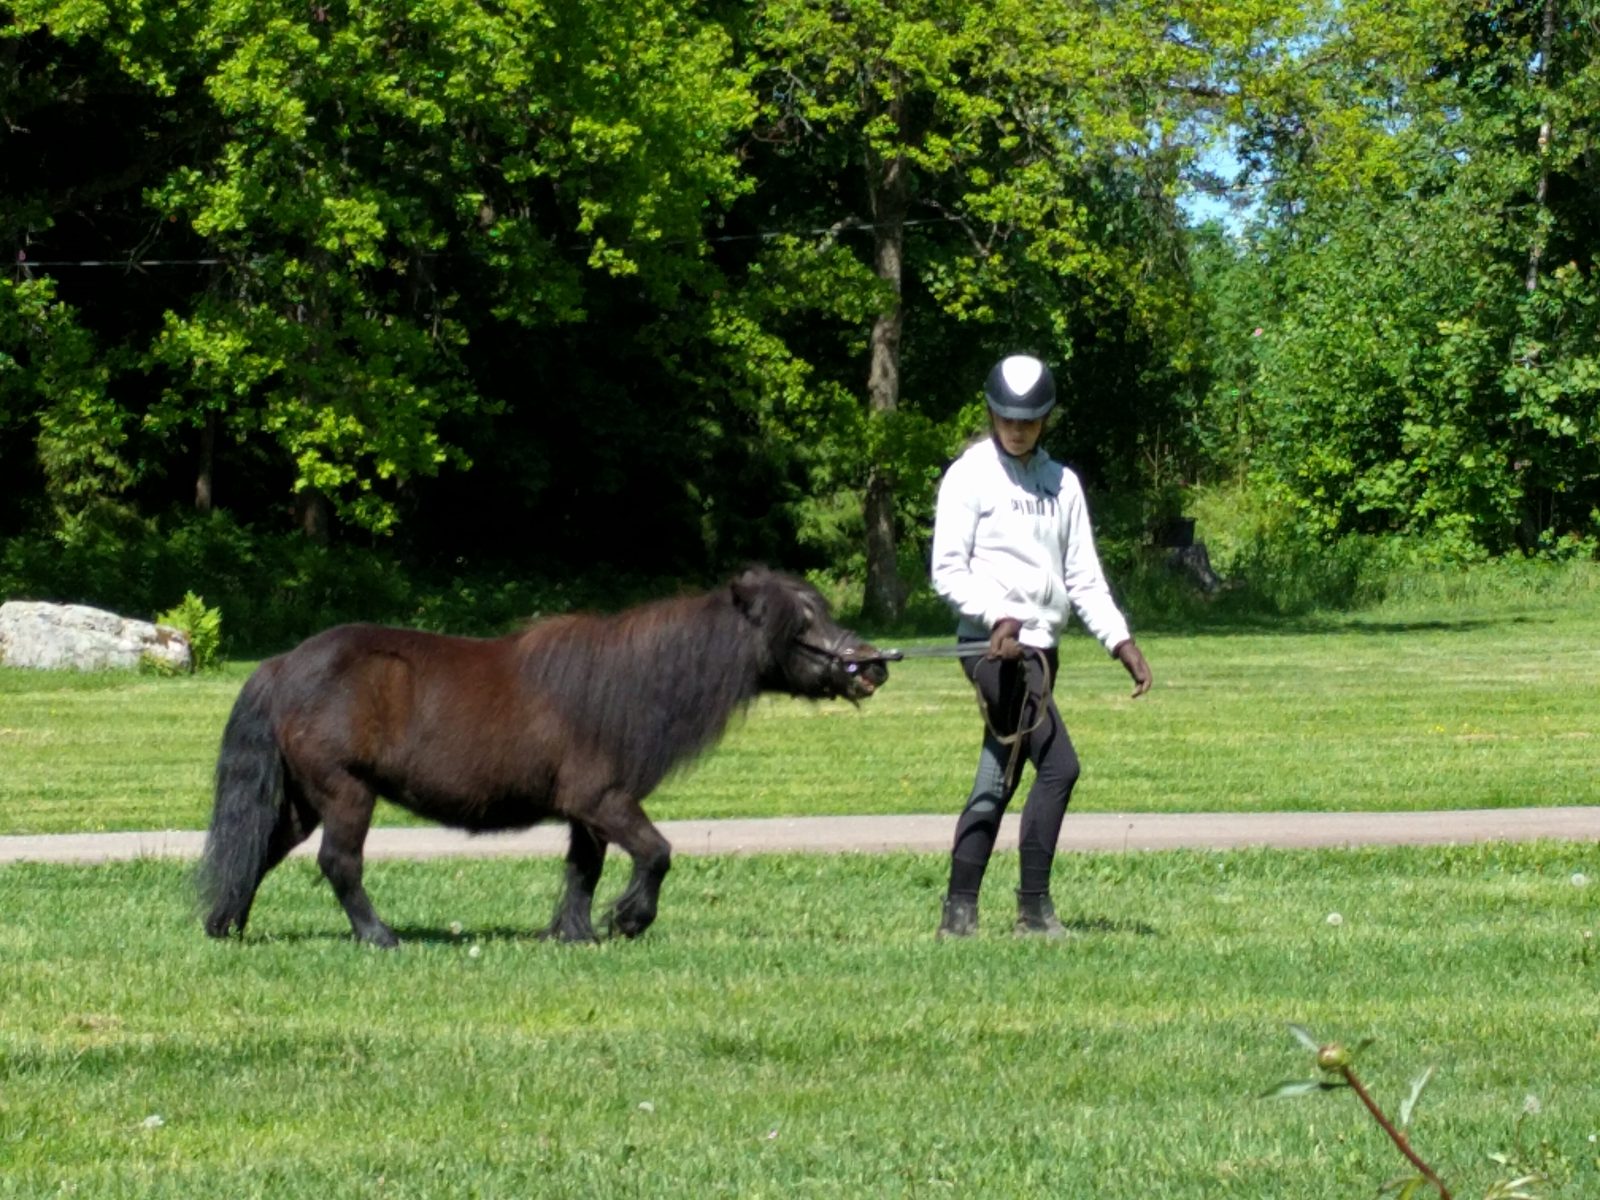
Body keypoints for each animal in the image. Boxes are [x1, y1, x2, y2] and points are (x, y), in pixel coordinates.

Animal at [198, 567, 889, 947]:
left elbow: (584, 870)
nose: (872, 667)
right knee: (340, 864)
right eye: (798, 623)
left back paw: (226, 924)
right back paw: (378, 935)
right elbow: (656, 854)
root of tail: (283, 664)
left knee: (259, 849)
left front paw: (573, 932)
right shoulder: (604, 800)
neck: (624, 683)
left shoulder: (587, 812)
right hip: (345, 794)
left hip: (304, 799)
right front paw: (630, 921)